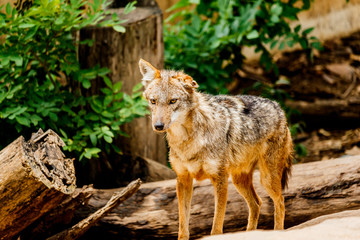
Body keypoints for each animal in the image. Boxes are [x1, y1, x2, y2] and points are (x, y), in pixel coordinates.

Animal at [139, 58, 294, 240]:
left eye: (173, 101)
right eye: (153, 101)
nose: (158, 126)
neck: (188, 141)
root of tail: (279, 108)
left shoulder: (219, 178)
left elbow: (217, 226)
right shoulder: (183, 179)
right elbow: (183, 225)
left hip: (266, 178)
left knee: (280, 202)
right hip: (239, 180)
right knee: (257, 203)